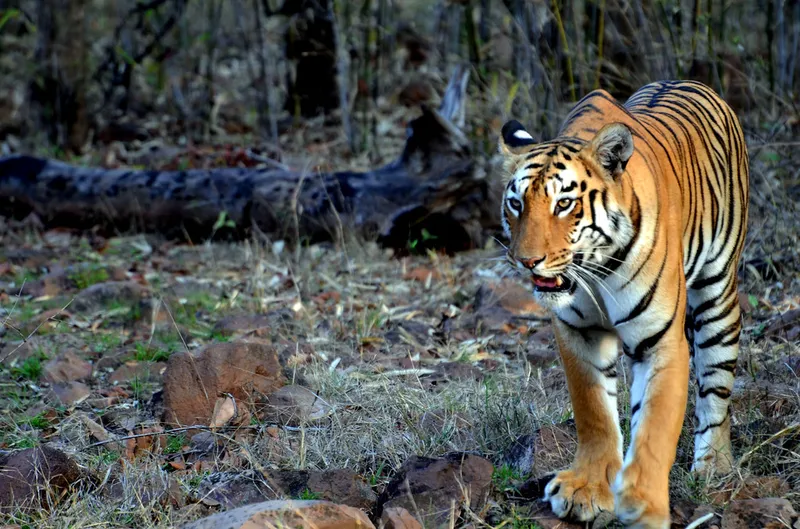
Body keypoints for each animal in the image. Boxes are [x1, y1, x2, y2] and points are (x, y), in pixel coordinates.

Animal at [500, 79, 752, 528]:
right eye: (516, 203)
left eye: (564, 203)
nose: (526, 260)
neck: (595, 269)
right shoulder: (578, 332)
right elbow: (594, 412)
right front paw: (586, 491)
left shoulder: (661, 341)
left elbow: (654, 428)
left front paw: (643, 505)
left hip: (718, 293)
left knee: (716, 385)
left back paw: (714, 467)